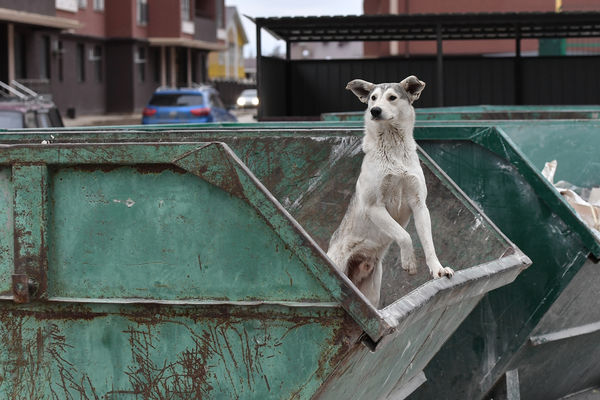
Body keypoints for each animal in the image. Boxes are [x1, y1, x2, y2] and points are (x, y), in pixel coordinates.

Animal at [328, 76, 454, 306]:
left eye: (392, 97)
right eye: (373, 98)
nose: (375, 110)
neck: (394, 149)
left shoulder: (420, 205)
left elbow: (428, 243)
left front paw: (438, 270)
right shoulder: (374, 207)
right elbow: (404, 235)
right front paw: (409, 262)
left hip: (371, 290)